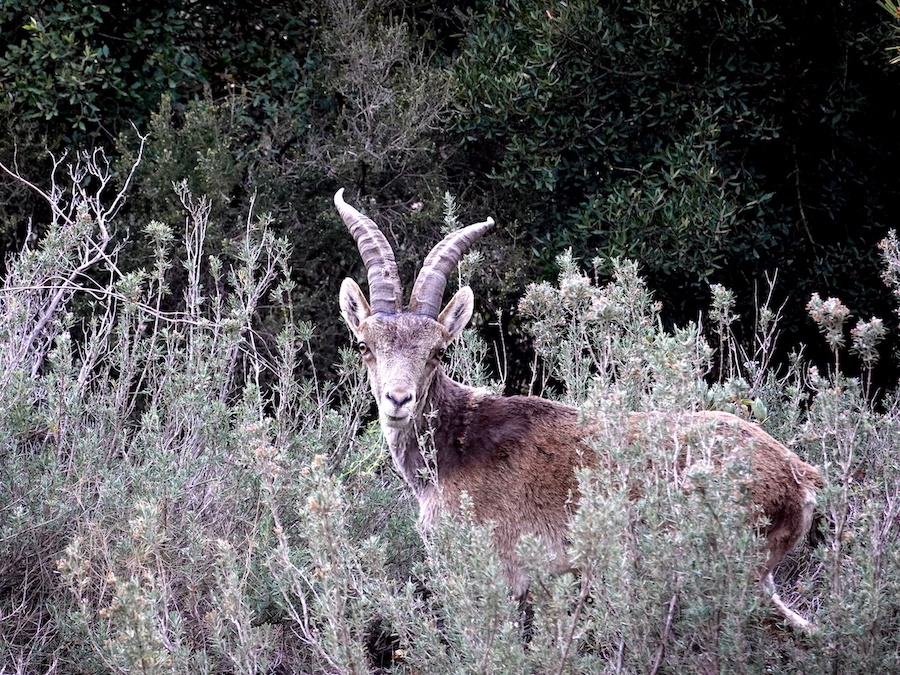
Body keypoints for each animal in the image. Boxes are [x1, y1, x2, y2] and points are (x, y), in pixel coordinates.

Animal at [336, 187, 824, 632]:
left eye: (437, 351)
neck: (457, 448)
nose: (398, 400)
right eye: (364, 345)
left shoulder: (502, 574)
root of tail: (800, 477)